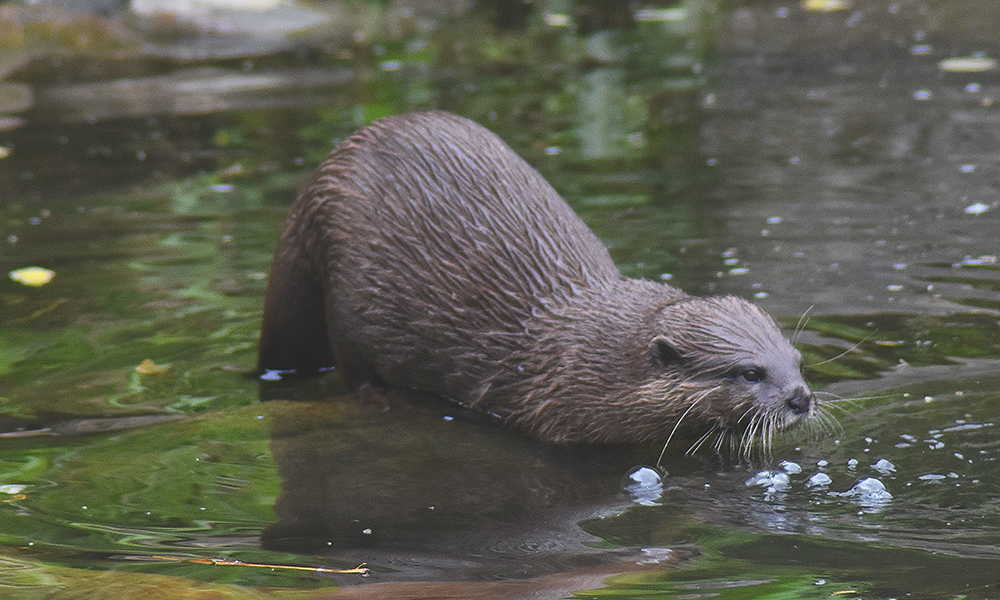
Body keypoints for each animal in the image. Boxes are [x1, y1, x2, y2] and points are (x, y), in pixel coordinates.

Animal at [258, 111, 814, 448]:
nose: (801, 398)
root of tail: (323, 178)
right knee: (352, 364)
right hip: (344, 289)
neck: (591, 363)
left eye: (797, 361)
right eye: (750, 373)